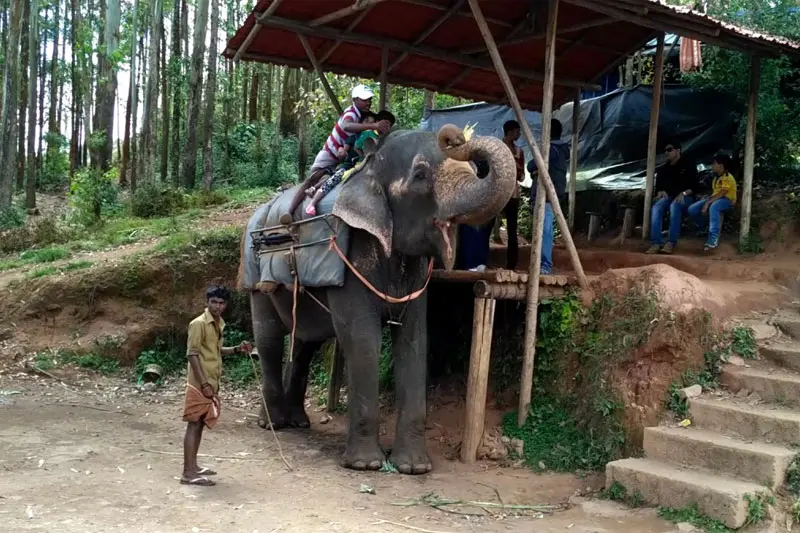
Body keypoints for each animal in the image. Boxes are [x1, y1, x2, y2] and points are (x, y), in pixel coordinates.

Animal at [241, 124, 516, 475]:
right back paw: (273, 423)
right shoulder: (351, 258)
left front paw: (413, 468)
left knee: (306, 341)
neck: (368, 171)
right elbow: (363, 339)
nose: (454, 135)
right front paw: (366, 465)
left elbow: (414, 339)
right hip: (252, 269)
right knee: (269, 337)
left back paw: (299, 422)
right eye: (420, 175)